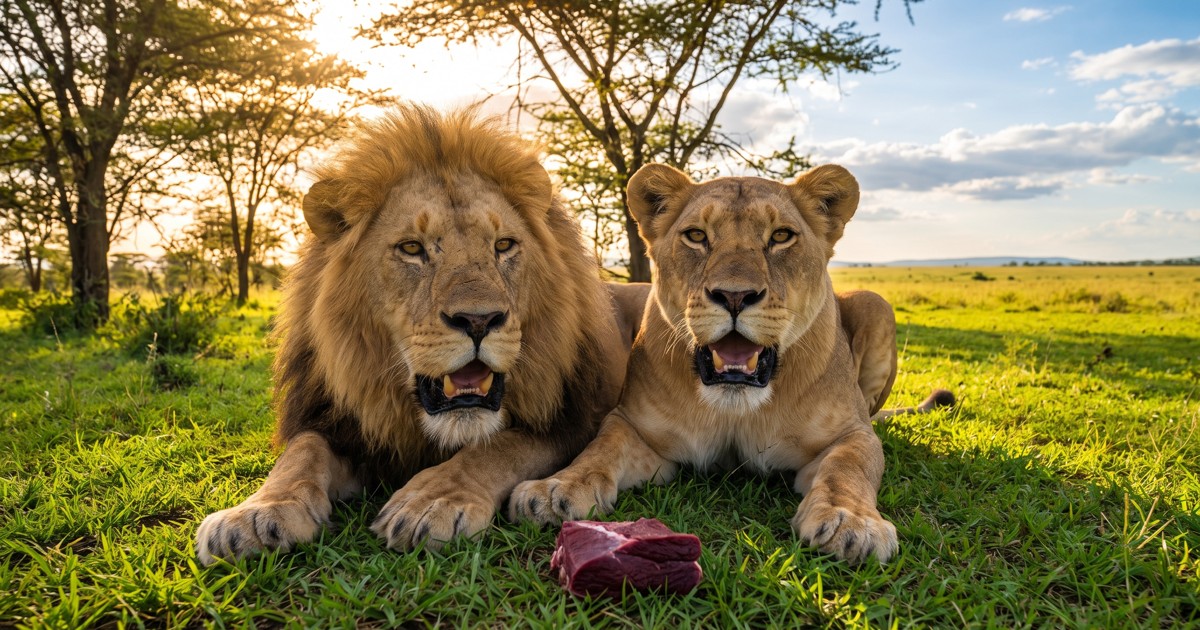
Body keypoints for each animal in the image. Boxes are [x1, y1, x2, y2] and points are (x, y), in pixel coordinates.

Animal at [195, 105, 641, 565]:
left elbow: (496, 447)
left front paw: (433, 501)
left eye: (503, 245)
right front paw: (256, 513)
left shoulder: (568, 421)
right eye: (412, 248)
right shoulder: (335, 422)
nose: (479, 320)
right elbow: (301, 453)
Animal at [510, 163, 951, 563]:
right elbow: (599, 450)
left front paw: (851, 523)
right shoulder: (636, 428)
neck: (736, 405)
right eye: (696, 236)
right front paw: (554, 490)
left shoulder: (852, 432)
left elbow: (848, 468)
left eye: (781, 236)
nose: (735, 296)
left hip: (875, 304)